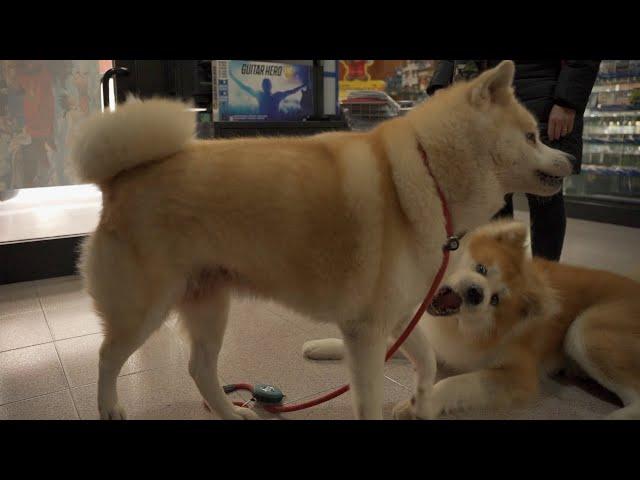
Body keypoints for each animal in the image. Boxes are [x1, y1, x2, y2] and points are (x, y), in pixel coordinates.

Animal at [70, 61, 576, 420]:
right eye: (533, 136)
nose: (570, 158)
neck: (429, 174)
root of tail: (122, 177)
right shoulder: (367, 332)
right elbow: (370, 402)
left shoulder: (397, 318)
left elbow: (429, 362)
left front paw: (422, 401)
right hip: (144, 309)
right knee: (107, 357)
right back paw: (109, 406)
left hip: (210, 302)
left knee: (200, 370)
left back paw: (233, 411)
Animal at [304, 221, 640, 420]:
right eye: (481, 268)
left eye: (496, 300)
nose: (477, 293)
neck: (461, 328)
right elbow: (388, 343)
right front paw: (325, 345)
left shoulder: (517, 375)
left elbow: (457, 381)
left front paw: (420, 405)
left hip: (584, 330)